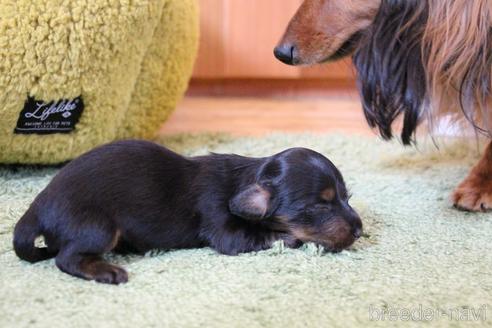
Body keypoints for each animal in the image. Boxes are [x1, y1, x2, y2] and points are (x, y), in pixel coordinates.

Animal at [14, 140, 362, 284]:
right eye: (319, 205)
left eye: (347, 197)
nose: (360, 230)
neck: (248, 177)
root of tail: (37, 207)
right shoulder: (224, 227)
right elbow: (264, 234)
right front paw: (292, 238)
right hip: (97, 227)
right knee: (66, 258)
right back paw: (106, 271)